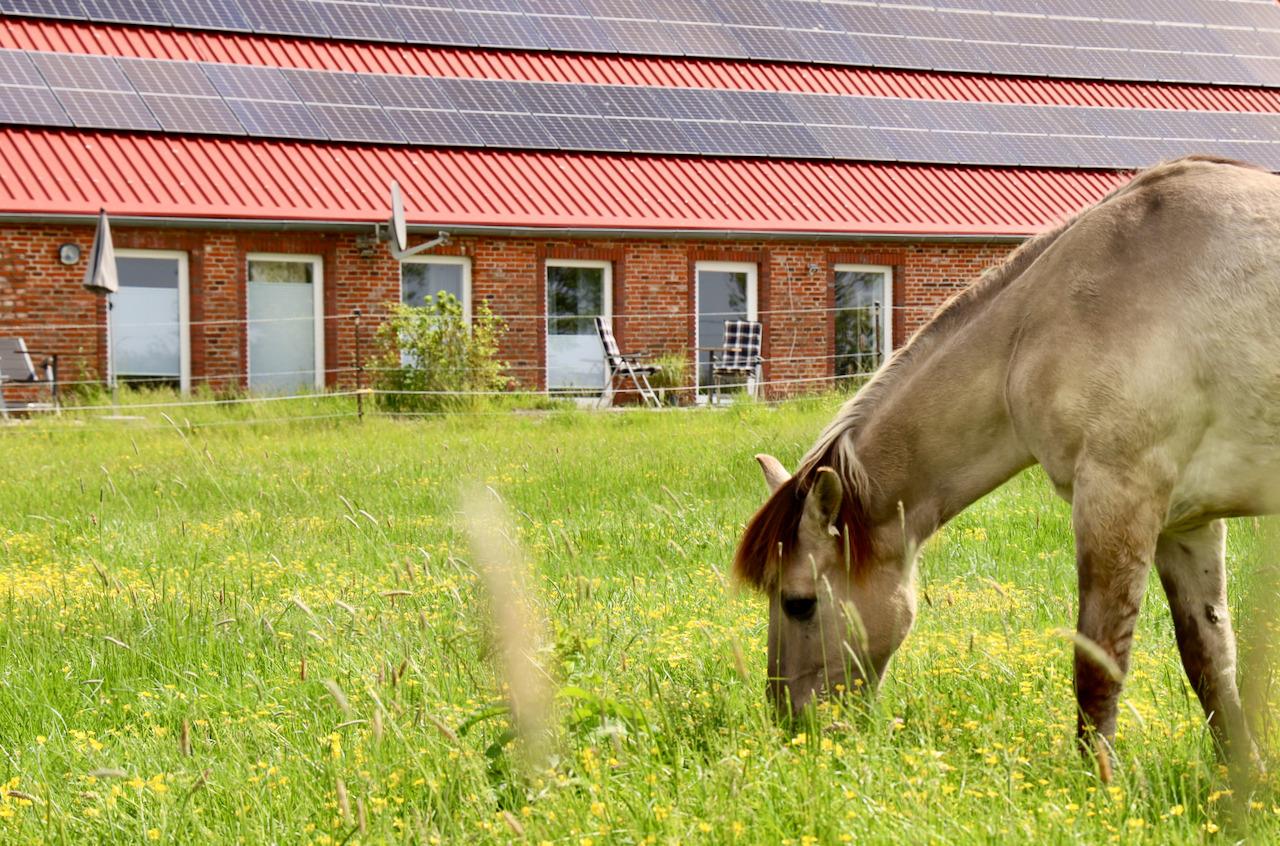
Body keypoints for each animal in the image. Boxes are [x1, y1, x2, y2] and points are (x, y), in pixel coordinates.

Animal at [734, 156, 1280, 780]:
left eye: (799, 602)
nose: (791, 723)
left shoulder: (1118, 501)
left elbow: (1097, 668)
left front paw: (1101, 786)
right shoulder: (1185, 523)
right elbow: (1210, 662)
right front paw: (1244, 782)